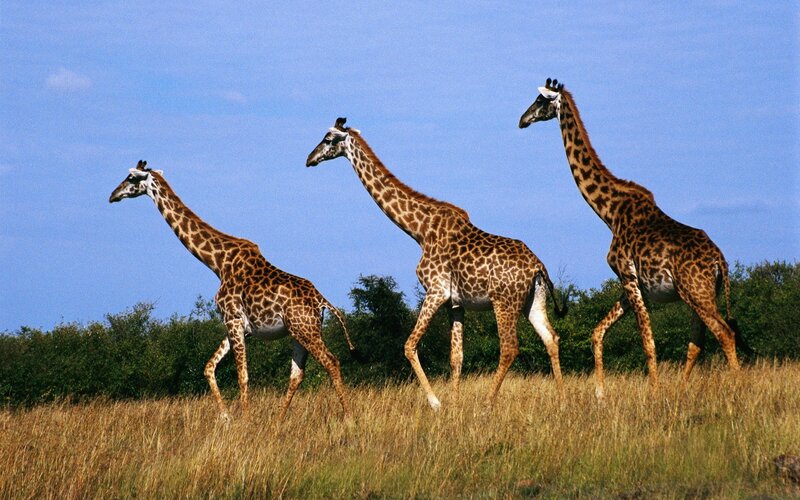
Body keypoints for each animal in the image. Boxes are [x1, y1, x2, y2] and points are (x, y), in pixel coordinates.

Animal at [109, 160, 360, 420]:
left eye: (130, 178)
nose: (112, 195)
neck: (217, 263)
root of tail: (321, 300)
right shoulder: (237, 326)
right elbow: (208, 367)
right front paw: (226, 416)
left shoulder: (232, 320)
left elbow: (242, 374)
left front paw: (245, 418)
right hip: (298, 332)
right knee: (297, 373)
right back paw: (278, 420)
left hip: (306, 330)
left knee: (332, 362)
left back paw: (349, 417)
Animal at [306, 118, 567, 410]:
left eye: (328, 139)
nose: (309, 159)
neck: (419, 230)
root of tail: (538, 266)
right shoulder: (455, 303)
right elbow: (456, 356)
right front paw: (453, 405)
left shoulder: (436, 291)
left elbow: (409, 345)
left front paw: (436, 403)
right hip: (533, 300)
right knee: (551, 339)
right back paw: (563, 401)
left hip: (504, 301)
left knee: (510, 347)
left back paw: (487, 404)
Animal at [519, 78, 743, 399]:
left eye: (540, 100)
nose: (522, 120)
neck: (610, 212)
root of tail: (720, 261)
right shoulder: (634, 285)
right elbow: (598, 332)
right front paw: (600, 393)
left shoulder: (627, 275)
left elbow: (648, 341)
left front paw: (654, 393)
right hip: (698, 294)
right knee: (697, 341)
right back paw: (683, 389)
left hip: (697, 292)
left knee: (724, 333)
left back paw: (737, 388)